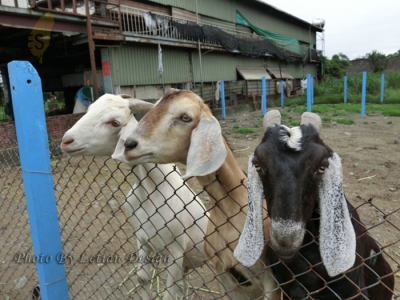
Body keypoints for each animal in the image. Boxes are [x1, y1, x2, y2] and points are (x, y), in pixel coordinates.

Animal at [61, 94, 209, 300]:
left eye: (115, 122)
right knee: (185, 283)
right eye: (89, 109)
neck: (151, 190)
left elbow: (169, 293)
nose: (66, 141)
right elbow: (143, 277)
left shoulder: (176, 250)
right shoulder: (142, 236)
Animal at [111, 89, 282, 300]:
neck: (232, 209)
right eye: (155, 107)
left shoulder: (271, 280)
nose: (129, 145)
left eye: (185, 117)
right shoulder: (223, 274)